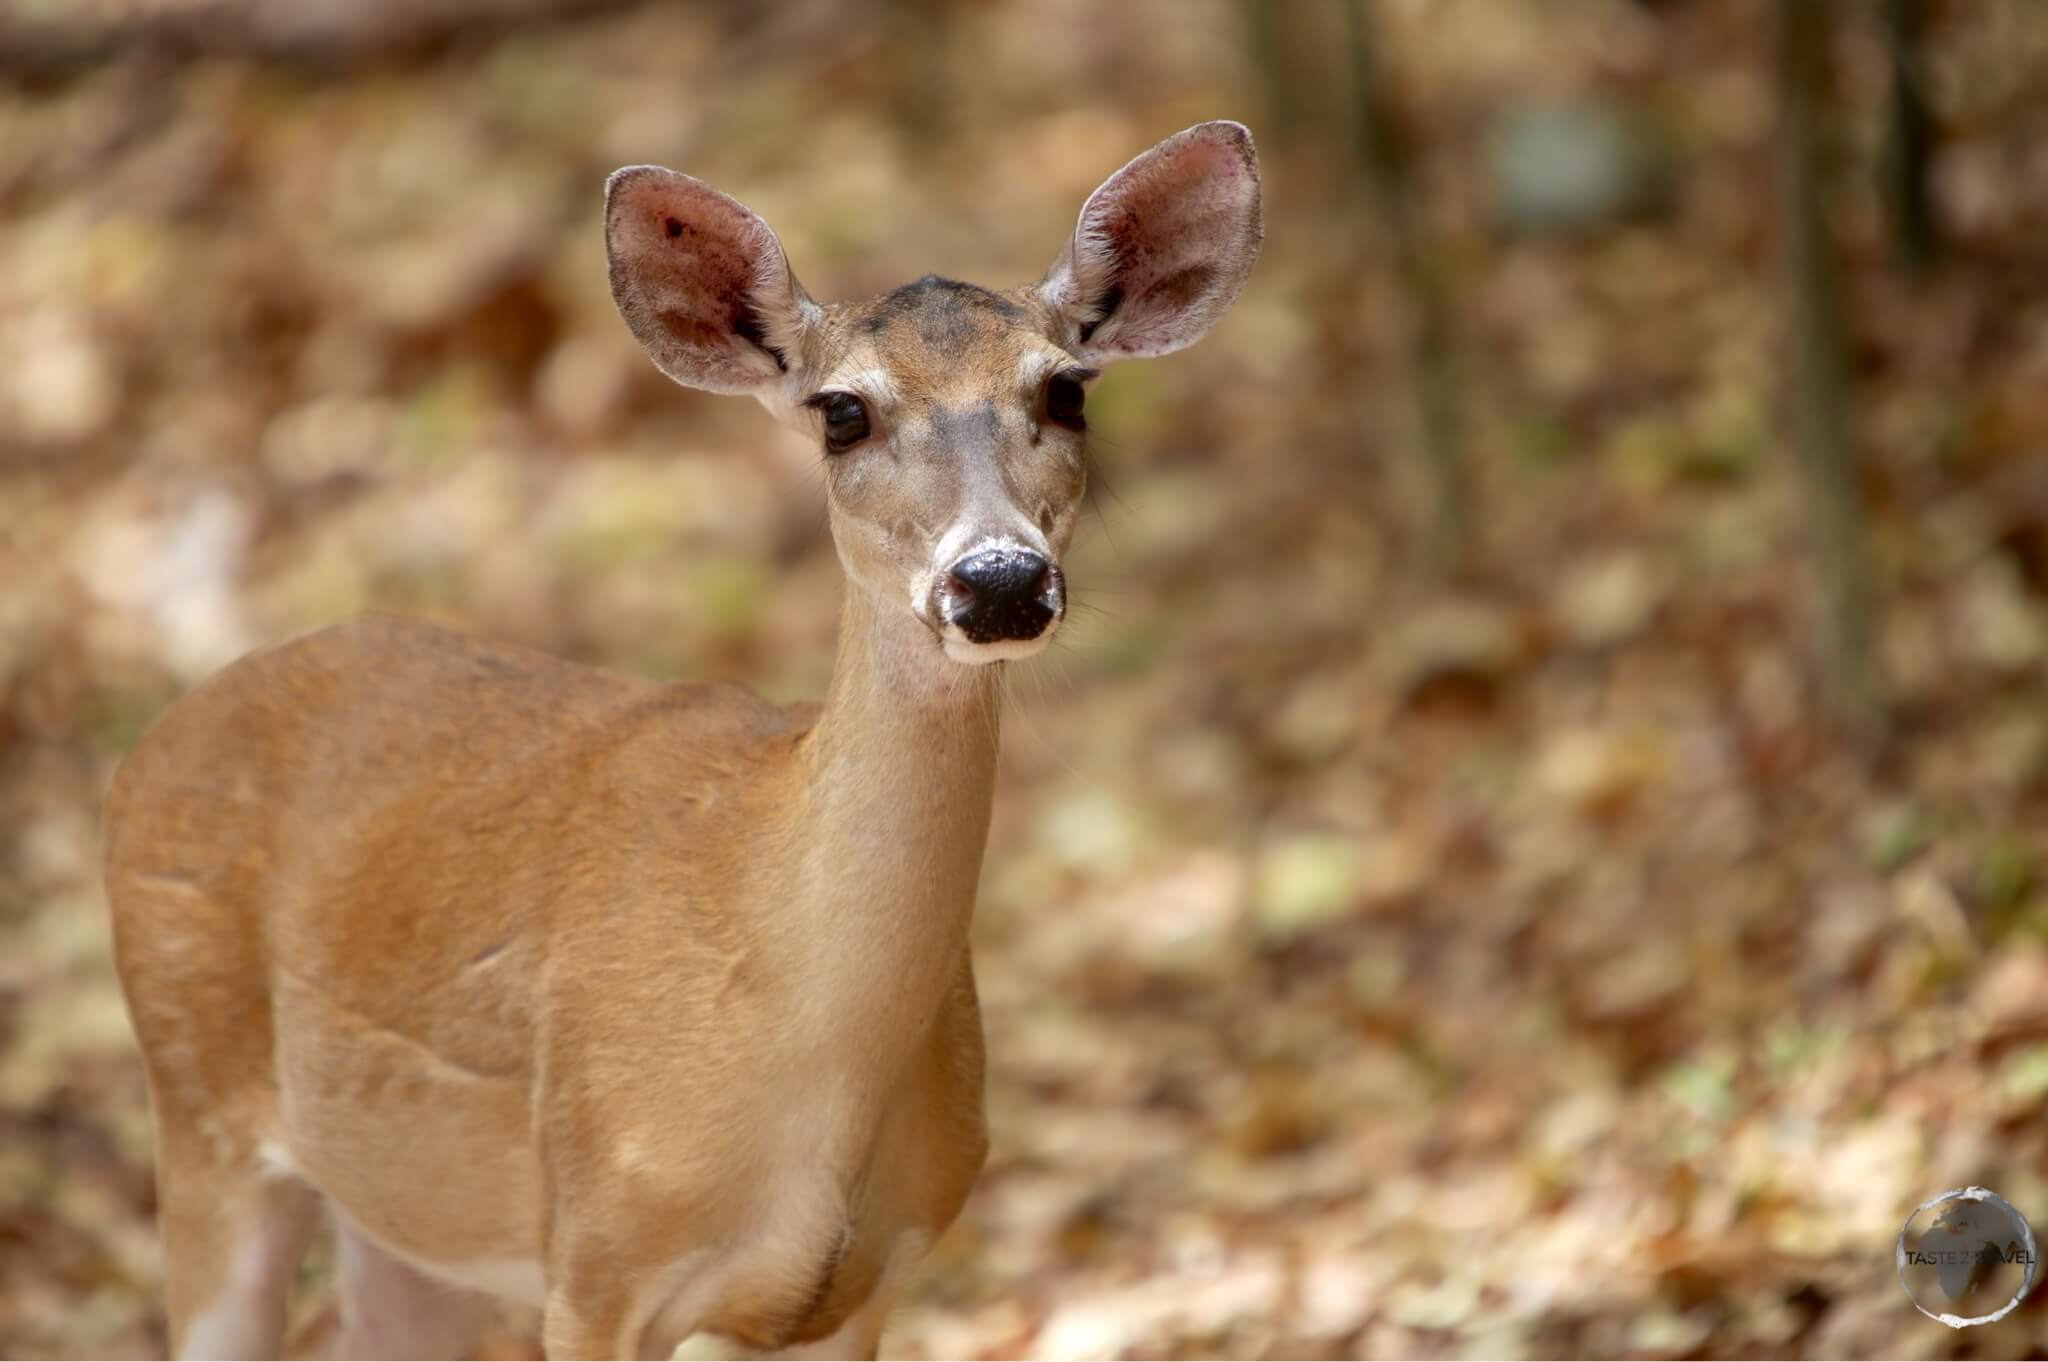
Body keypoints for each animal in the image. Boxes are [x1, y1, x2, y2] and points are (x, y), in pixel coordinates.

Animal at [103, 122, 1261, 1351]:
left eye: (1067, 390)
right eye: (841, 410)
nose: (996, 579)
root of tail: (151, 747)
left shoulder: (870, 1281)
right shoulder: (597, 1256)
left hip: (398, 1210)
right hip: (197, 1103)